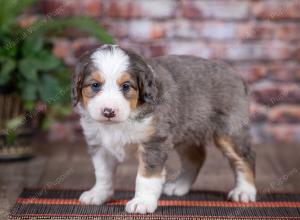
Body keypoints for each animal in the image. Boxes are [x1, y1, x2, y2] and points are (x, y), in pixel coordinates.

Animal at [72, 44, 255, 213]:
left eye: (126, 86)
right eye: (95, 85)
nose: (108, 111)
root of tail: (237, 75)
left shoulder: (154, 142)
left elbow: (146, 177)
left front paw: (142, 202)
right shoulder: (99, 144)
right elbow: (103, 173)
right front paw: (99, 194)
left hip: (230, 131)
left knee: (245, 159)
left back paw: (244, 191)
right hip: (185, 131)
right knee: (196, 157)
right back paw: (179, 186)